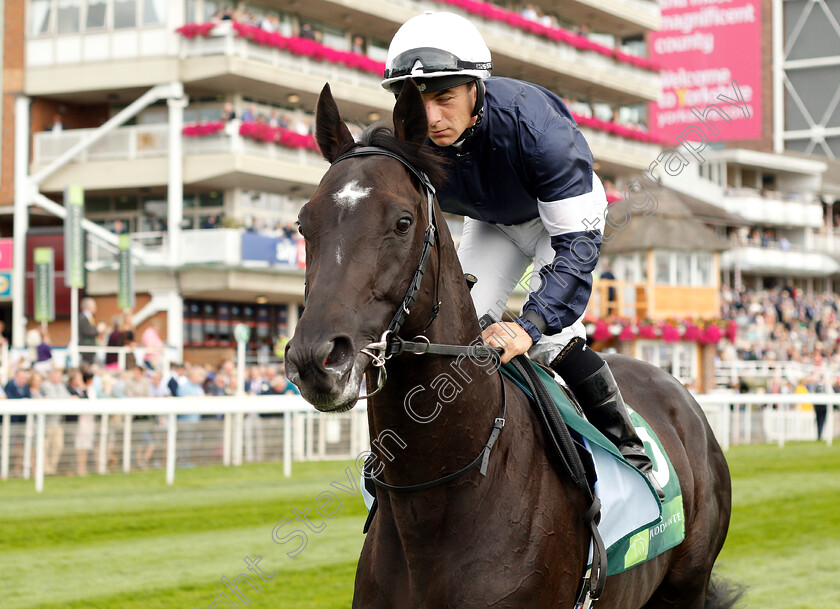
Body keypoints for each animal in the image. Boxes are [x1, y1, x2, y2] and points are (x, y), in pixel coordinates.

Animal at [286, 82, 740, 608]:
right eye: (303, 223)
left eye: (401, 222)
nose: (316, 359)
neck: (439, 496)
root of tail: (677, 390)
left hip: (687, 583)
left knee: (565, 342)